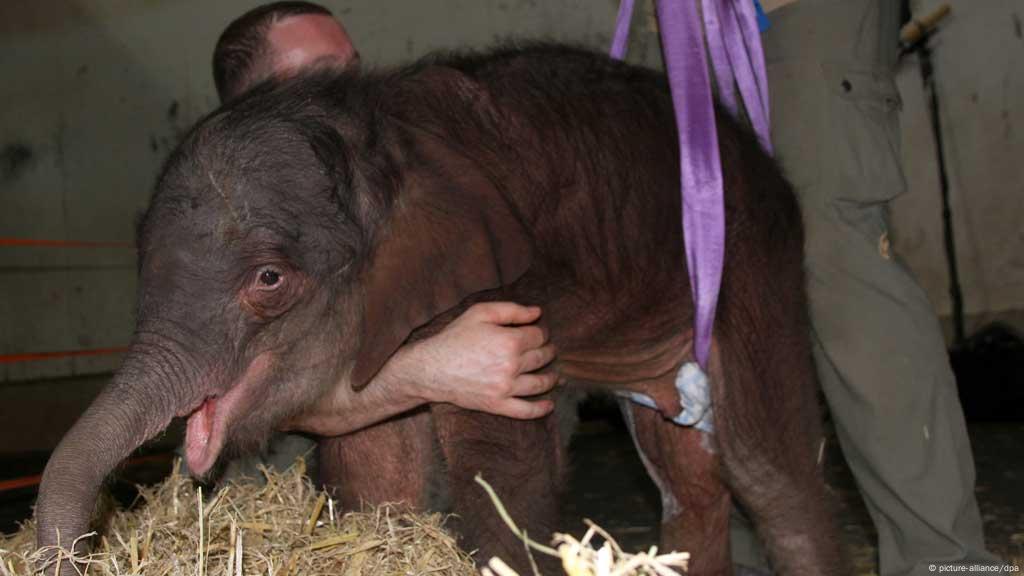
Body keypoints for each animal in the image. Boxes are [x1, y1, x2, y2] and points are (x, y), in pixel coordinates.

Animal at [36, 43, 843, 573]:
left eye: (267, 278)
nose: (81, 552)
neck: (380, 136)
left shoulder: (501, 282)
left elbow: (498, 463)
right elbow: (377, 460)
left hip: (754, 259)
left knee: (768, 471)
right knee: (688, 481)